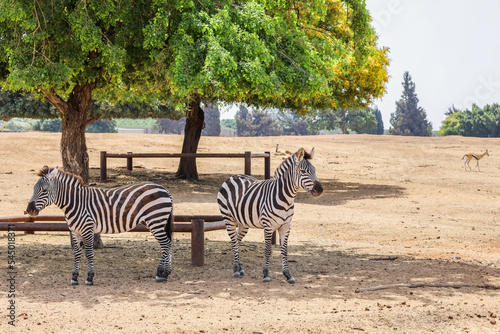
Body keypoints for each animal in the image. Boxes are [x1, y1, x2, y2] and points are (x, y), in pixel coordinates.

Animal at [25, 166, 174, 286]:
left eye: (45, 190)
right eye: (33, 189)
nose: (29, 210)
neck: (75, 202)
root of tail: (164, 189)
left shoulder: (87, 229)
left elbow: (89, 253)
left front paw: (89, 278)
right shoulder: (75, 231)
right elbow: (77, 254)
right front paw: (74, 278)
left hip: (156, 220)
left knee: (165, 244)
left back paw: (161, 274)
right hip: (156, 222)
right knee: (168, 244)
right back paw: (166, 273)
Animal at [217, 147, 322, 284]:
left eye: (314, 170)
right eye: (303, 171)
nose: (320, 190)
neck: (286, 199)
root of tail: (232, 177)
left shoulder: (285, 226)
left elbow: (284, 250)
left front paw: (288, 274)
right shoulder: (268, 226)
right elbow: (268, 250)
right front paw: (266, 274)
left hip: (243, 222)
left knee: (236, 242)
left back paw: (239, 268)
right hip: (228, 218)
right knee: (234, 242)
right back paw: (235, 270)